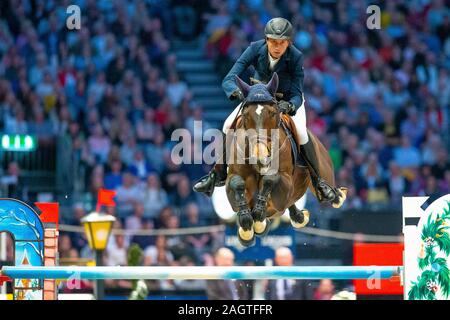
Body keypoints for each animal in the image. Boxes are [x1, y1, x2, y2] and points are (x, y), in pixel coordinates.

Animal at [225, 73, 348, 248]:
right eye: (246, 114)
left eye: (273, 113)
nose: (261, 158)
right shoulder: (232, 180)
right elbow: (237, 183)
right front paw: (247, 227)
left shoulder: (286, 184)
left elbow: (270, 180)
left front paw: (259, 218)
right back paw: (297, 217)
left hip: (324, 171)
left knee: (329, 192)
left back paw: (333, 194)